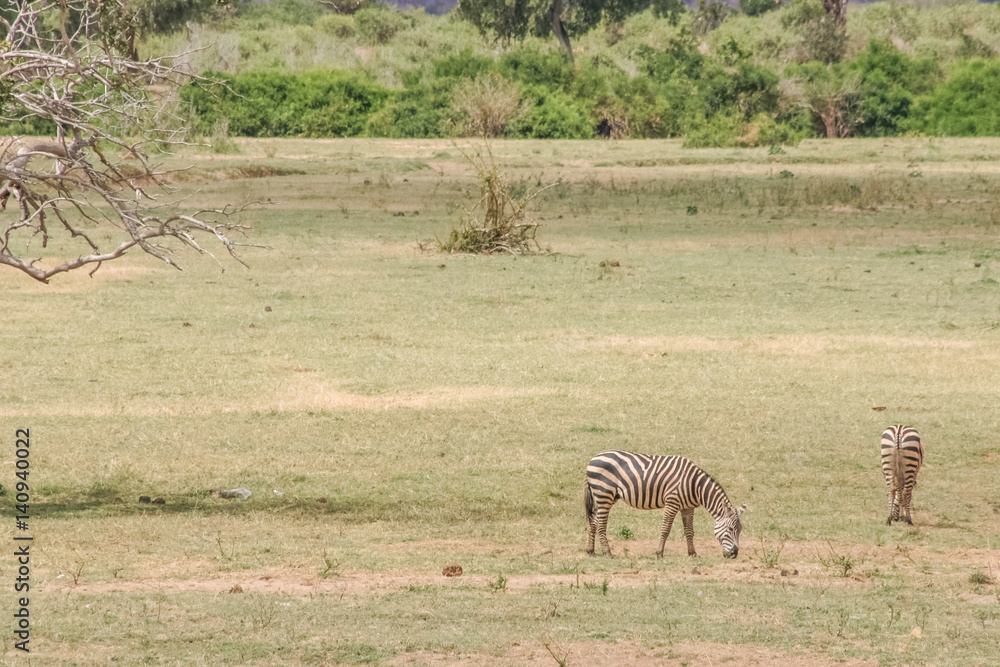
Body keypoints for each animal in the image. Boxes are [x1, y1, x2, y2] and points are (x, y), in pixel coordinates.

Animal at [584, 451, 746, 559]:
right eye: (731, 529)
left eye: (740, 530)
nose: (734, 554)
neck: (695, 485)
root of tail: (592, 459)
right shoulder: (672, 503)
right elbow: (666, 529)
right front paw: (659, 553)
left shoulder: (688, 507)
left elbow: (689, 531)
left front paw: (692, 553)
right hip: (604, 494)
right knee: (601, 524)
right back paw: (607, 553)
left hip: (607, 496)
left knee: (594, 521)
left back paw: (591, 551)